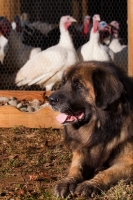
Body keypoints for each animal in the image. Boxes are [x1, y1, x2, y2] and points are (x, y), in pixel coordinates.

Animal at [47, 61, 133, 198]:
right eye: (63, 82)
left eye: (79, 85)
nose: (50, 99)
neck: (103, 127)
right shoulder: (84, 149)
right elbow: (76, 167)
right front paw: (67, 181)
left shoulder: (129, 160)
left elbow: (108, 172)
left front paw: (91, 184)